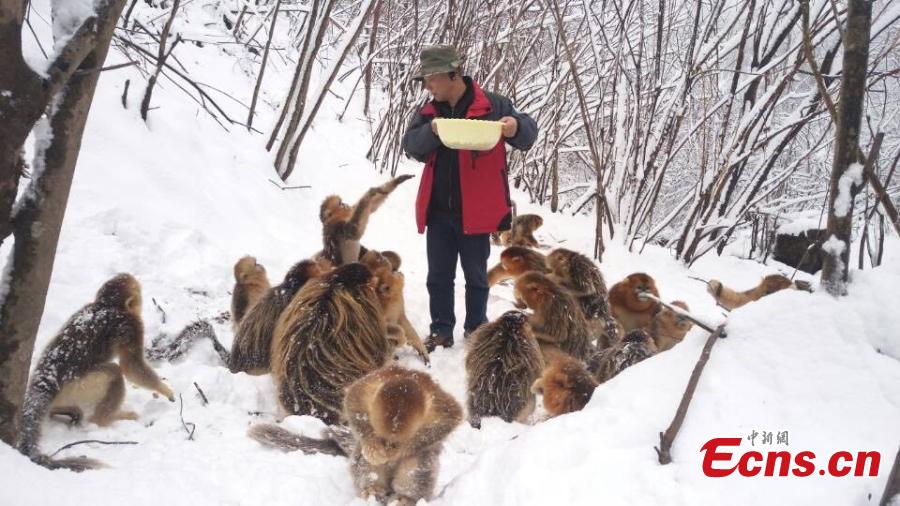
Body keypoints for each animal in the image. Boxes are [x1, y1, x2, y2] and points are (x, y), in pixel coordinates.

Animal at [17, 274, 175, 470]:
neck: (105, 305)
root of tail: (44, 382)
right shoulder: (130, 325)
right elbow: (131, 367)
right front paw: (164, 388)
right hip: (78, 386)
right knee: (114, 372)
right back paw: (107, 419)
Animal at [248, 365, 462, 505]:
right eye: (379, 436)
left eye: (395, 441)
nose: (387, 447)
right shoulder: (368, 387)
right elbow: (353, 403)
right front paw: (372, 445)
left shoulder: (440, 405)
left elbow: (449, 420)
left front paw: (402, 448)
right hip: (363, 464)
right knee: (366, 467)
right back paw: (372, 490)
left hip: (417, 470)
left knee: (415, 468)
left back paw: (405, 498)